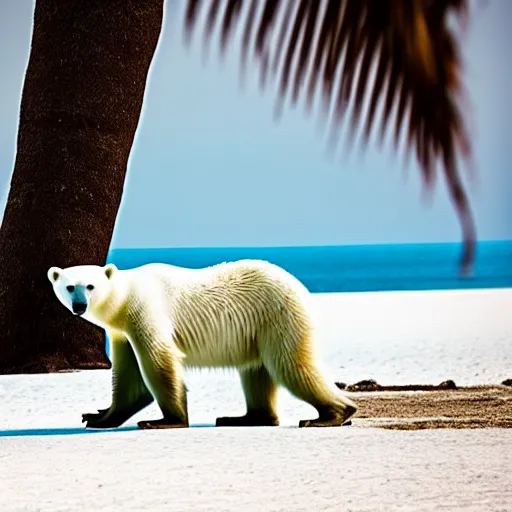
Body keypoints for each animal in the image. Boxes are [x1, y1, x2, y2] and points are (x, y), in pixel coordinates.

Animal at [48, 260, 358, 428]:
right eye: (69, 286)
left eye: (89, 286)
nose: (79, 306)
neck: (124, 297)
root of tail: (302, 288)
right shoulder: (121, 332)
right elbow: (128, 377)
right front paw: (97, 416)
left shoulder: (144, 311)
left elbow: (159, 361)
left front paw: (166, 420)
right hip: (259, 329)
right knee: (255, 371)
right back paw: (244, 417)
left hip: (279, 315)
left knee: (290, 366)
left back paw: (332, 414)